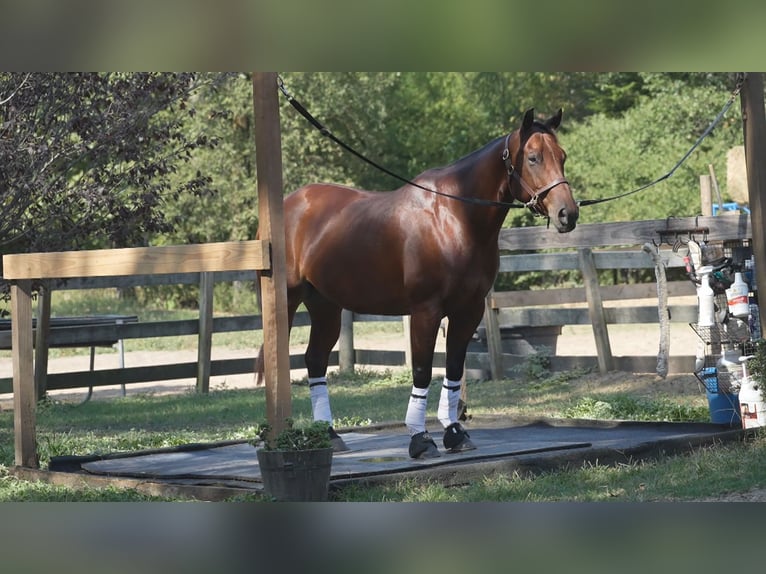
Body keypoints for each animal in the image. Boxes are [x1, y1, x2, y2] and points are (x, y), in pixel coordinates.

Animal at [256, 107, 576, 460]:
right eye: (533, 158)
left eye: (562, 156)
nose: (568, 214)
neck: (455, 217)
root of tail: (289, 204)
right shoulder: (426, 311)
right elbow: (422, 370)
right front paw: (420, 439)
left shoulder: (469, 311)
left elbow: (453, 369)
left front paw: (454, 433)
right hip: (287, 301)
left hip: (325, 305)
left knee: (315, 359)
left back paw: (329, 433)